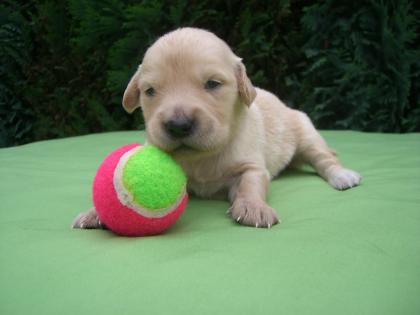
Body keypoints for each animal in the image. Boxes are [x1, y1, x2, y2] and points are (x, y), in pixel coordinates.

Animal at [72, 27, 360, 230]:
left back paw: (342, 175)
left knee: (325, 157)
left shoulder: (252, 166)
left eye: (212, 84)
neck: (203, 157)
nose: (178, 125)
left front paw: (253, 207)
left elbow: (250, 184)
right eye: (150, 91)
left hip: (305, 131)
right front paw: (95, 212)